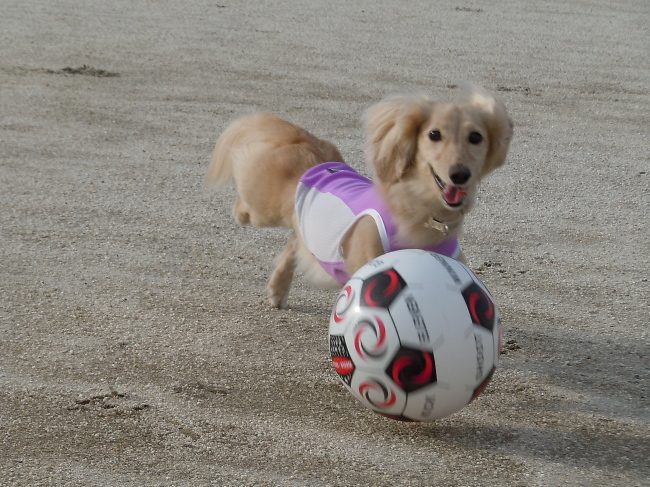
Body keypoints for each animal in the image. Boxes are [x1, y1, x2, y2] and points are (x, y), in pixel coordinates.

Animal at [208, 87, 512, 308]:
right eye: (434, 134)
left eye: (476, 137)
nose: (459, 174)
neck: (420, 214)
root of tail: (305, 144)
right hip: (264, 207)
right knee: (246, 204)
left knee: (294, 241)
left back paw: (277, 288)